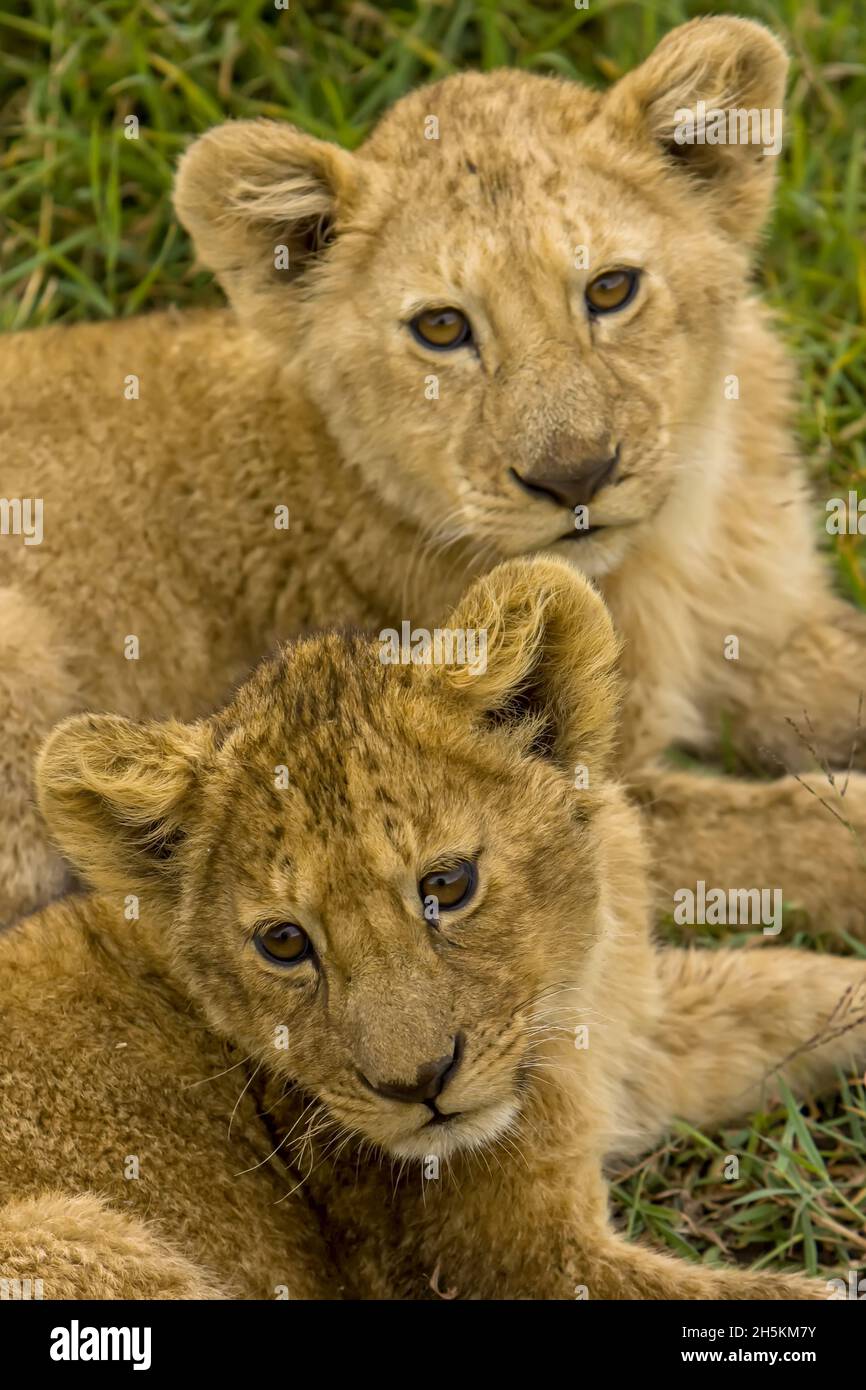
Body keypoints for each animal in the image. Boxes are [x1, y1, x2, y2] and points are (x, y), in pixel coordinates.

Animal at [1, 15, 864, 927]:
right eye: (442, 328)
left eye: (612, 288)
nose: (576, 478)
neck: (676, 547)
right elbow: (788, 835)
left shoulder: (771, 634)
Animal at [2, 558, 862, 1300]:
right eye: (283, 942)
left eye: (447, 886)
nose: (418, 1086)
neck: (567, 1002)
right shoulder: (512, 1262)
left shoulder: (631, 1041)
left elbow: (781, 993)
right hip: (79, 1236)